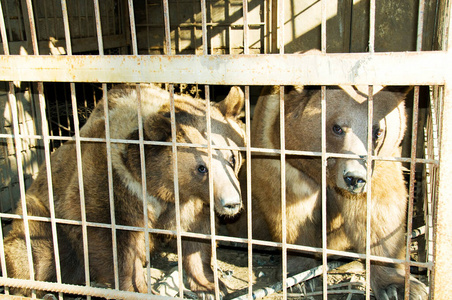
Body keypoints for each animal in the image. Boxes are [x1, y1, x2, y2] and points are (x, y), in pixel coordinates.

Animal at [1, 83, 245, 296]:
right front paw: (138, 289)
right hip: (43, 214)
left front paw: (210, 286)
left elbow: (197, 236)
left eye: (232, 157)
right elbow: (111, 239)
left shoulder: (191, 201)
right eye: (201, 167)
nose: (232, 203)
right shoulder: (110, 183)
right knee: (37, 250)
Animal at [231, 84, 430, 300]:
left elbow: (378, 214)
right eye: (337, 128)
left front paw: (399, 287)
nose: (354, 178)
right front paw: (298, 276)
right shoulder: (280, 158)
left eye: (378, 131)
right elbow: (291, 213)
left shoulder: (380, 164)